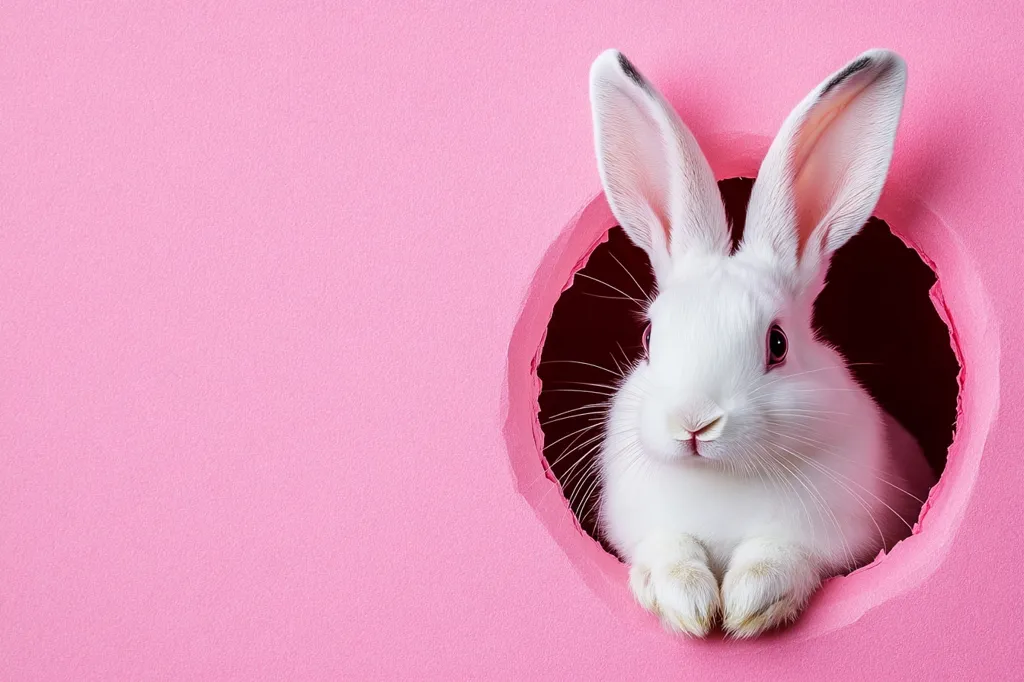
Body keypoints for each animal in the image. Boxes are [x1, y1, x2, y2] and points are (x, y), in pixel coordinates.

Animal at [588, 48, 937, 638]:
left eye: (777, 343)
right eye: (649, 336)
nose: (694, 422)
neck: (721, 476)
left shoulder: (829, 537)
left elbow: (780, 555)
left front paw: (746, 605)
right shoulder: (646, 529)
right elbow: (669, 548)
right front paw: (688, 604)